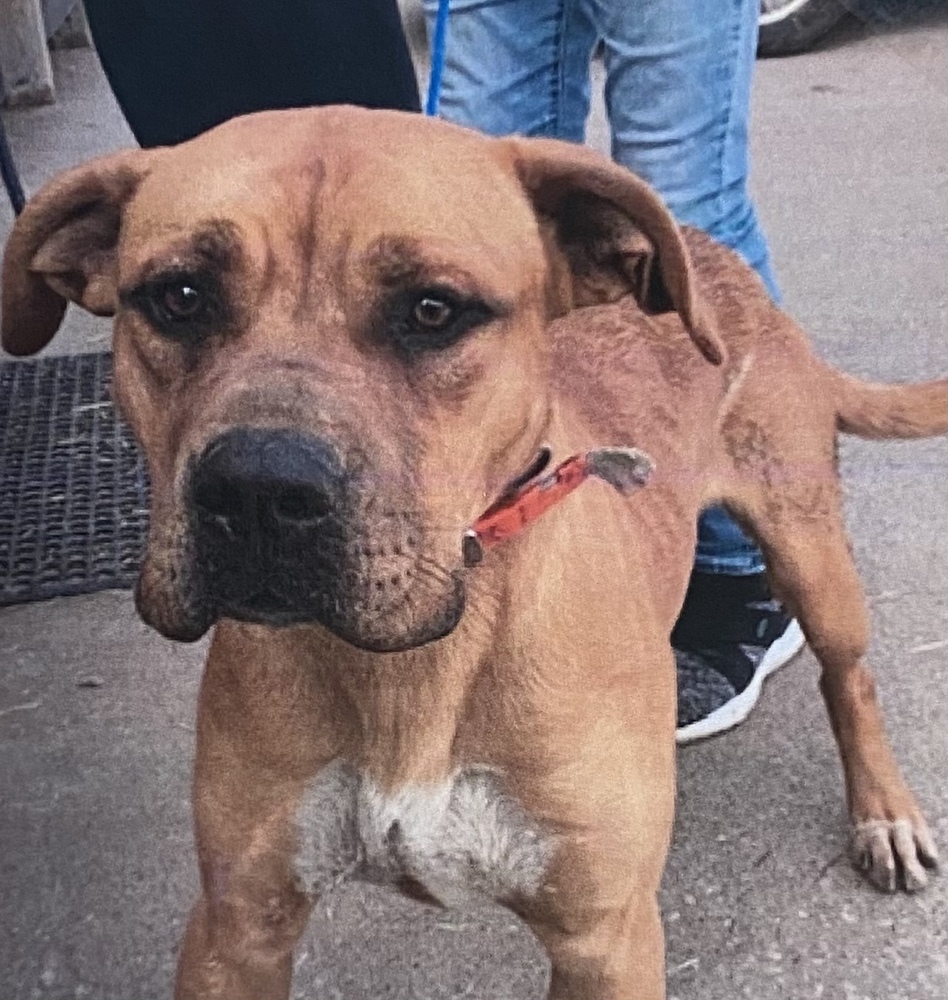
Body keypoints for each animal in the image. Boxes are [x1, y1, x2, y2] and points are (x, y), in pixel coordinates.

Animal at [3, 105, 944, 996]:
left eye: (433, 309)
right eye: (181, 296)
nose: (257, 488)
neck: (411, 664)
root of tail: (719, 261)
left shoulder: (607, 941)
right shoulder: (237, 928)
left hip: (810, 554)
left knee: (848, 676)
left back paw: (883, 811)